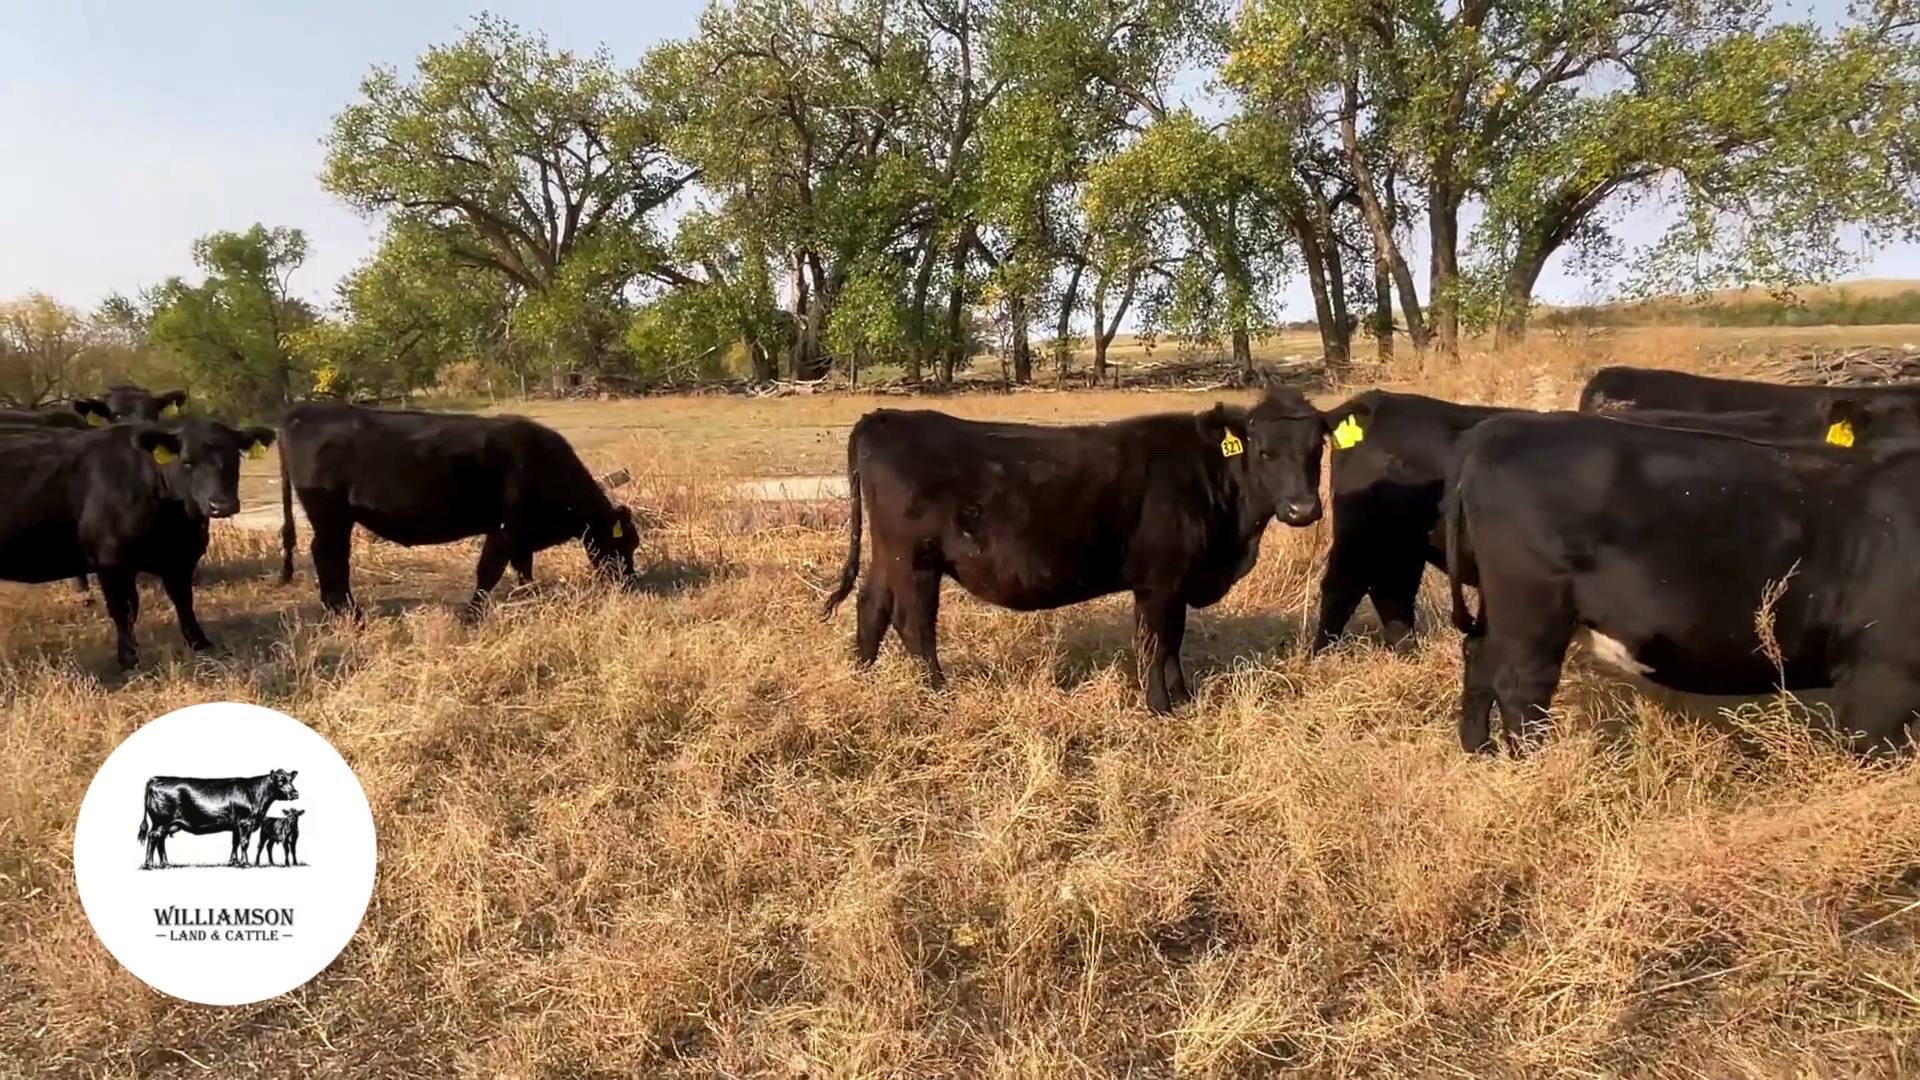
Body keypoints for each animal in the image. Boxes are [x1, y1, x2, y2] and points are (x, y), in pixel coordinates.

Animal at [136, 764, 295, 864]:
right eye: (280, 781)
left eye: (291, 780)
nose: (295, 793)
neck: (255, 794)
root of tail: (157, 778)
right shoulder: (245, 823)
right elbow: (244, 843)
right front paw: (245, 862)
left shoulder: (236, 825)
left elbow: (235, 843)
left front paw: (234, 862)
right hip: (160, 822)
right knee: (153, 838)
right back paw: (149, 864)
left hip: (166, 824)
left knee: (160, 841)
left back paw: (165, 864)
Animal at [274, 399, 645, 614]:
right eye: (622, 542)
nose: (630, 583)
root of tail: (300, 413)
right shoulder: (505, 526)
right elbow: (489, 571)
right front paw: (473, 613)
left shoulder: (521, 532)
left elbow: (523, 566)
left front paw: (529, 593)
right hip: (329, 514)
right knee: (328, 555)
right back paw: (347, 611)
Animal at [814, 382, 1336, 711]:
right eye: (1264, 452)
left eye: (1317, 450)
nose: (1302, 509)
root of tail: (884, 417)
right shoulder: (1159, 581)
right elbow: (1156, 643)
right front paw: (1161, 708)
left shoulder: (1177, 582)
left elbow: (1174, 642)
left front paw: (1185, 699)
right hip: (915, 558)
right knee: (913, 624)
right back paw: (940, 692)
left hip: (890, 555)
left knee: (872, 606)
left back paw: (861, 675)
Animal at [1305, 388, 1873, 653]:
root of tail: (1377, 402)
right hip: (1362, 534)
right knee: (1343, 588)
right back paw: (1321, 656)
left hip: (1398, 544)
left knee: (1390, 592)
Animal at [1443, 409, 1920, 757]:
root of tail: (1501, 426)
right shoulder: (1882, 677)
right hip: (1534, 606)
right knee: (1522, 684)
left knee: (1479, 656)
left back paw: (1480, 752)